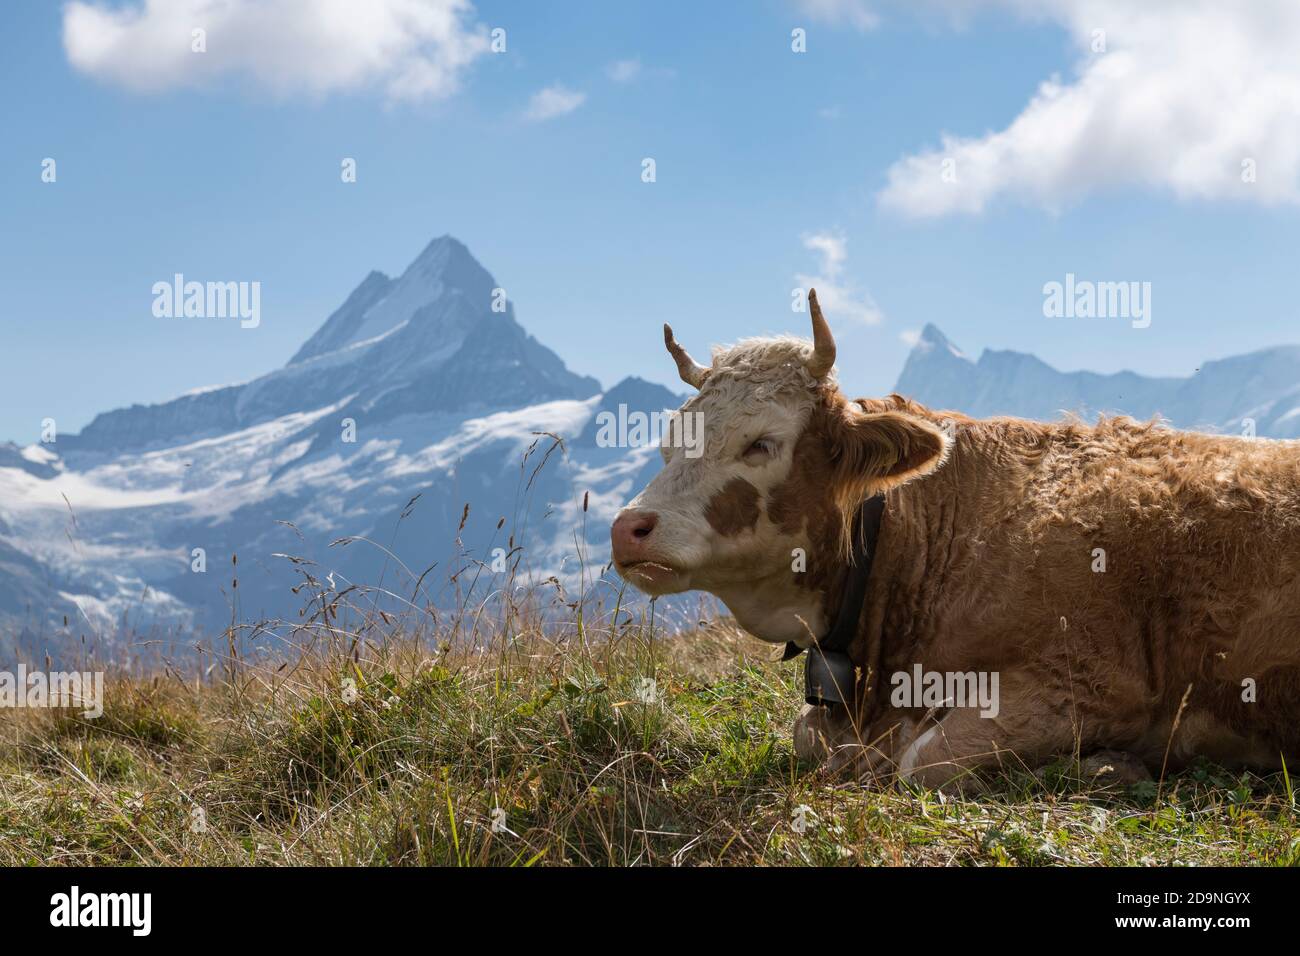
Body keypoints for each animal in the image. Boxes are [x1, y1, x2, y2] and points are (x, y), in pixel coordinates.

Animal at [608, 291, 1300, 785]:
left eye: (761, 443)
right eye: (668, 443)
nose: (627, 528)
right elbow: (806, 733)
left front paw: (1112, 764)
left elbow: (922, 760)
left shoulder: (1093, 687)